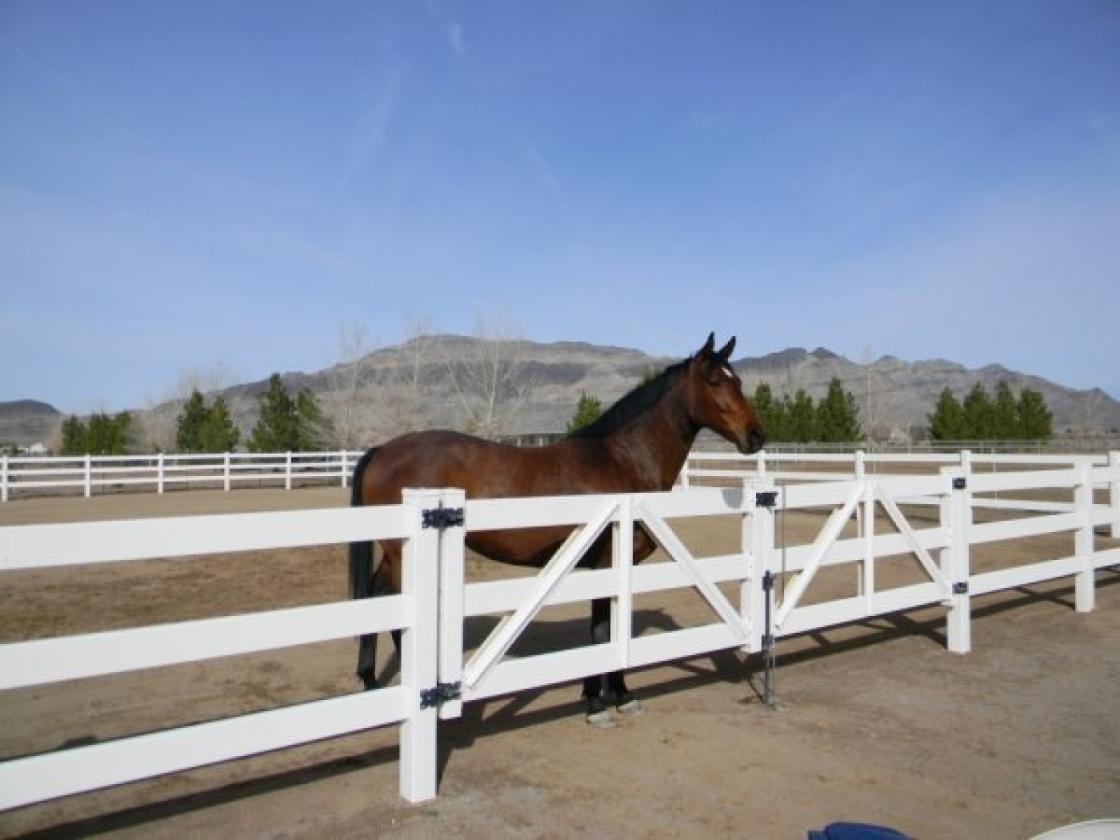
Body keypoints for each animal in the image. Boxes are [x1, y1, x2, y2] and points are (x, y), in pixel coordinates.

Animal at [349, 333, 765, 726]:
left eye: (739, 380)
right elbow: (602, 631)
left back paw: (370, 680)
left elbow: (609, 629)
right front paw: (599, 702)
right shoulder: (605, 563)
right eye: (715, 381)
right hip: (402, 554)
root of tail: (383, 450)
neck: (621, 461)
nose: (756, 435)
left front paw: (617, 695)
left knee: (375, 597)